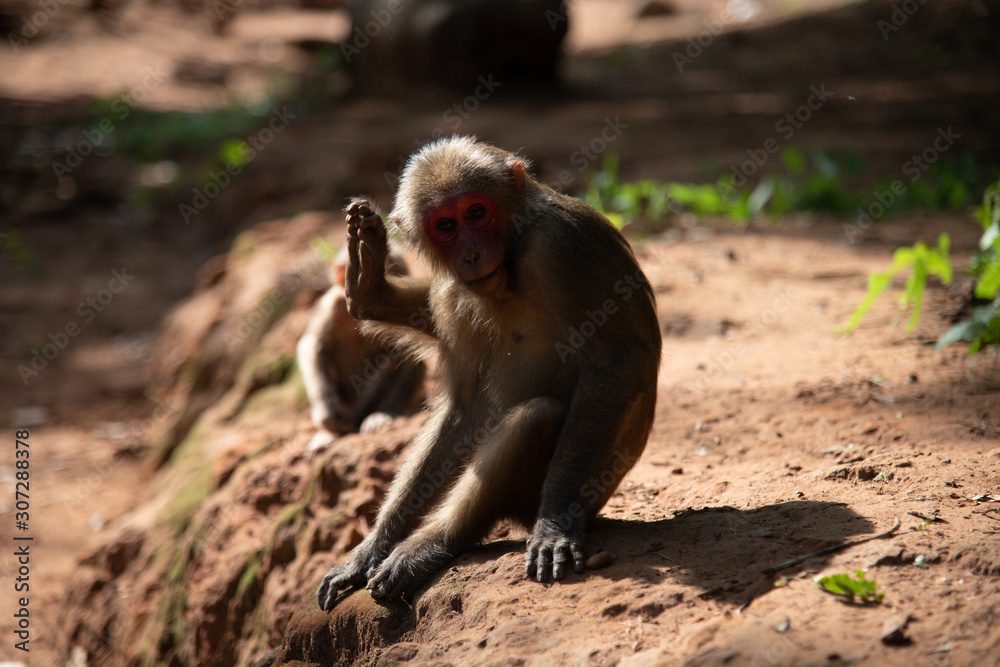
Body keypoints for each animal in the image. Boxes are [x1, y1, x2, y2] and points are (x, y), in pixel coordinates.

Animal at [317, 136, 661, 608]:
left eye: (477, 213)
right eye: (446, 225)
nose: (471, 253)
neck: (513, 261)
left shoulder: (561, 246)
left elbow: (619, 361)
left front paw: (556, 523)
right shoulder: (450, 293)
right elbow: (464, 412)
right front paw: (369, 549)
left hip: (583, 491)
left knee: (537, 416)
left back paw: (438, 541)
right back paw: (368, 287)